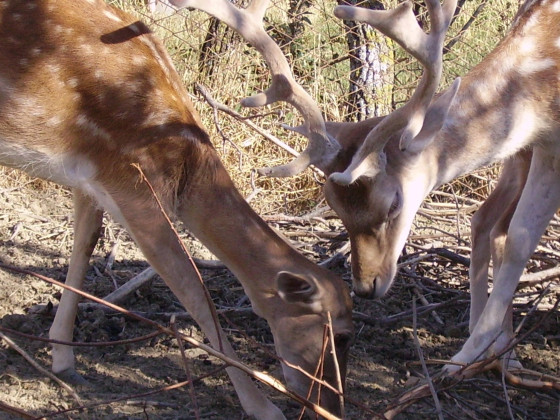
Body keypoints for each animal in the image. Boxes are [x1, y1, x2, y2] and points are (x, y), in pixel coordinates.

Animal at [0, 0, 354, 416]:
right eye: (341, 334)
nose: (333, 408)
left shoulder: (92, 176)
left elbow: (84, 247)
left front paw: (63, 359)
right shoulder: (133, 184)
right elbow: (195, 293)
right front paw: (262, 407)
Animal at [173, 0, 556, 370]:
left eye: (393, 203)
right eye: (334, 206)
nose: (366, 286)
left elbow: (522, 238)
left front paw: (465, 356)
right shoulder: (530, 144)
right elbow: (510, 234)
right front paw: (477, 352)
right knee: (486, 221)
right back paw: (504, 354)